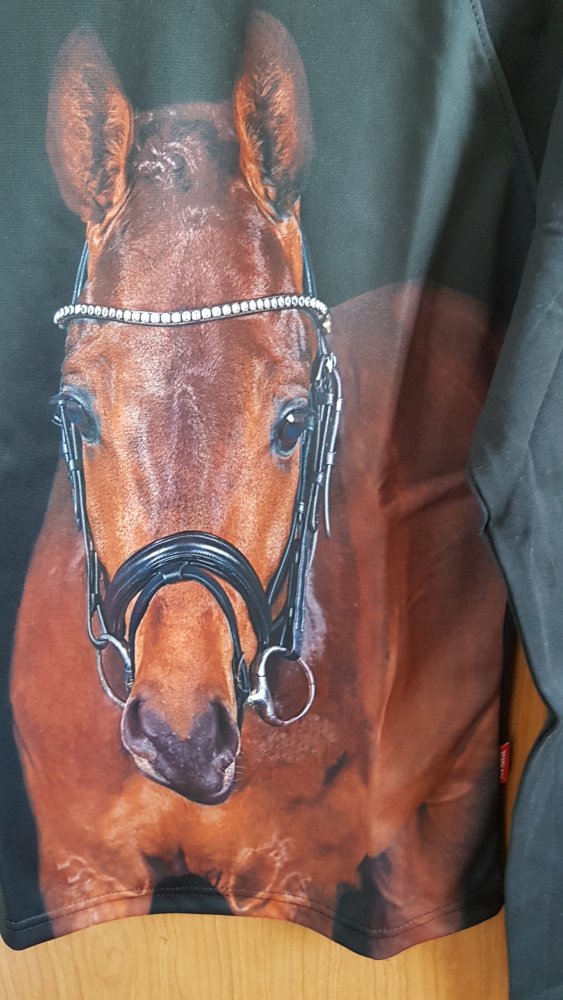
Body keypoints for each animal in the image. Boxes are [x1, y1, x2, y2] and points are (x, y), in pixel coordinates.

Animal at [9, 13, 507, 955]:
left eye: (293, 419)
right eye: (76, 408)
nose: (179, 736)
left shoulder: (288, 875)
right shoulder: (81, 872)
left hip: (444, 809)